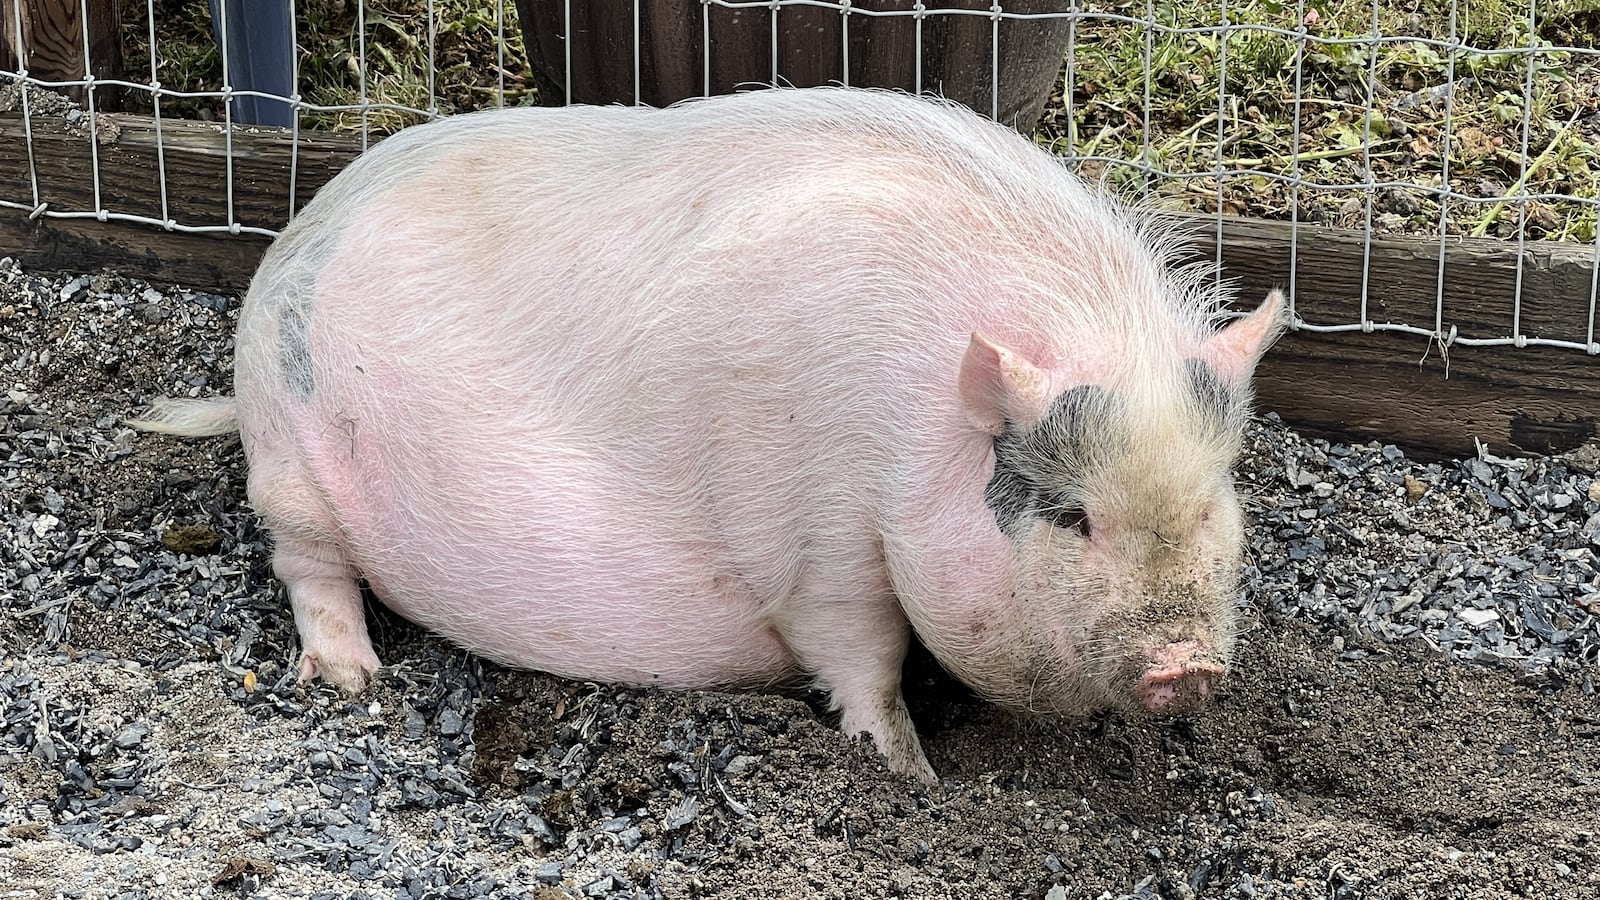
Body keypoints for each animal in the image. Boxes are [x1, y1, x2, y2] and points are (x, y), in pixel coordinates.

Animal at [130, 86, 1284, 784]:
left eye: (1211, 504)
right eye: (1074, 516)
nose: (1187, 668)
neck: (910, 428)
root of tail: (293, 234)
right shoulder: (820, 536)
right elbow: (861, 650)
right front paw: (905, 773)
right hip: (290, 456)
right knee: (307, 566)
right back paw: (354, 680)